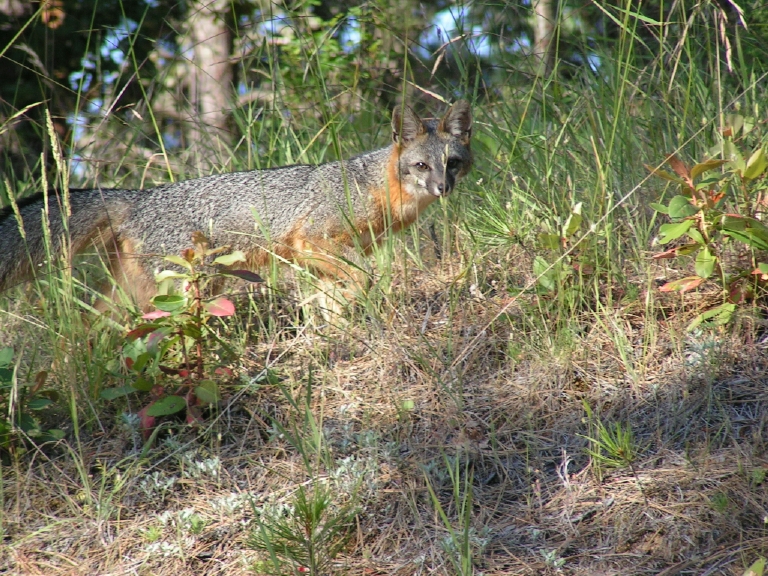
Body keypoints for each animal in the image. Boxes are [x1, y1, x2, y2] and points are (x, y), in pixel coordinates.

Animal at [0, 100, 472, 308]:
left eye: (452, 164)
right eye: (421, 165)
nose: (442, 189)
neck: (371, 186)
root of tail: (138, 195)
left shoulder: (320, 258)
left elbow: (334, 297)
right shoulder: (311, 239)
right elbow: (367, 276)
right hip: (192, 287)